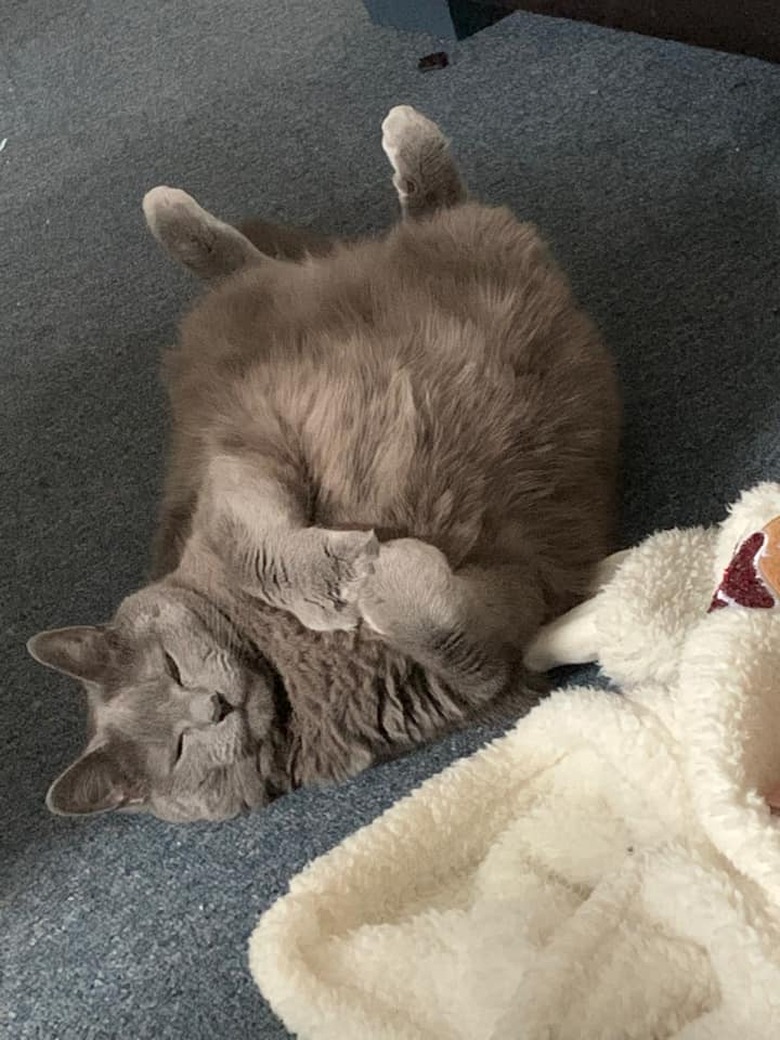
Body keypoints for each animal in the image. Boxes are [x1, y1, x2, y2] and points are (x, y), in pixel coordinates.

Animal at [27, 105, 619, 819]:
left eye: (171, 666)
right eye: (177, 748)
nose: (212, 706)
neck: (277, 661)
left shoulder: (236, 464)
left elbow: (258, 548)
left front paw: (353, 576)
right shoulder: (484, 665)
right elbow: (462, 643)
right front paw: (383, 576)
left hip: (319, 289)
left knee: (289, 247)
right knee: (425, 214)